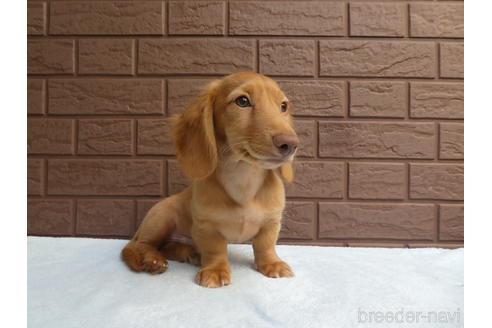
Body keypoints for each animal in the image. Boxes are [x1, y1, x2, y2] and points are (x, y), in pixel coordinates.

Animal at [123, 71, 300, 288]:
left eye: (283, 106)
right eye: (242, 101)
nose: (290, 144)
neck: (243, 178)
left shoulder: (272, 222)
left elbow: (265, 245)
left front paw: (272, 264)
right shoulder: (206, 226)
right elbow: (215, 249)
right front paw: (215, 270)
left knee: (168, 246)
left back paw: (190, 253)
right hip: (161, 217)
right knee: (144, 244)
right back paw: (153, 260)